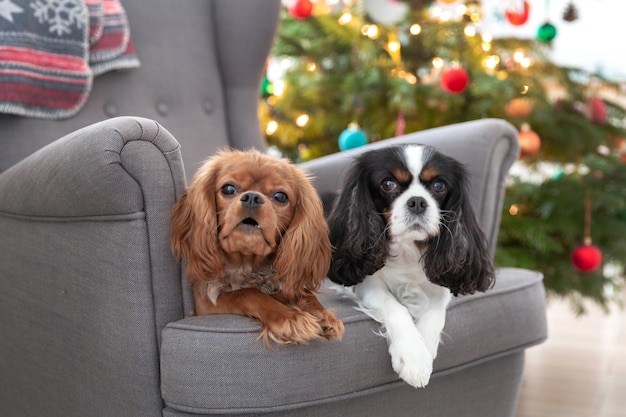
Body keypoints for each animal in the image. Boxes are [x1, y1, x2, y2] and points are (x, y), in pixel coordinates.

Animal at [326, 144, 492, 386]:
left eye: (439, 185)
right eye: (388, 184)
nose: (417, 202)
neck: (407, 249)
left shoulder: (441, 284)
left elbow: (435, 311)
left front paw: (425, 349)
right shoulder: (364, 283)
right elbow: (395, 307)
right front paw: (414, 357)